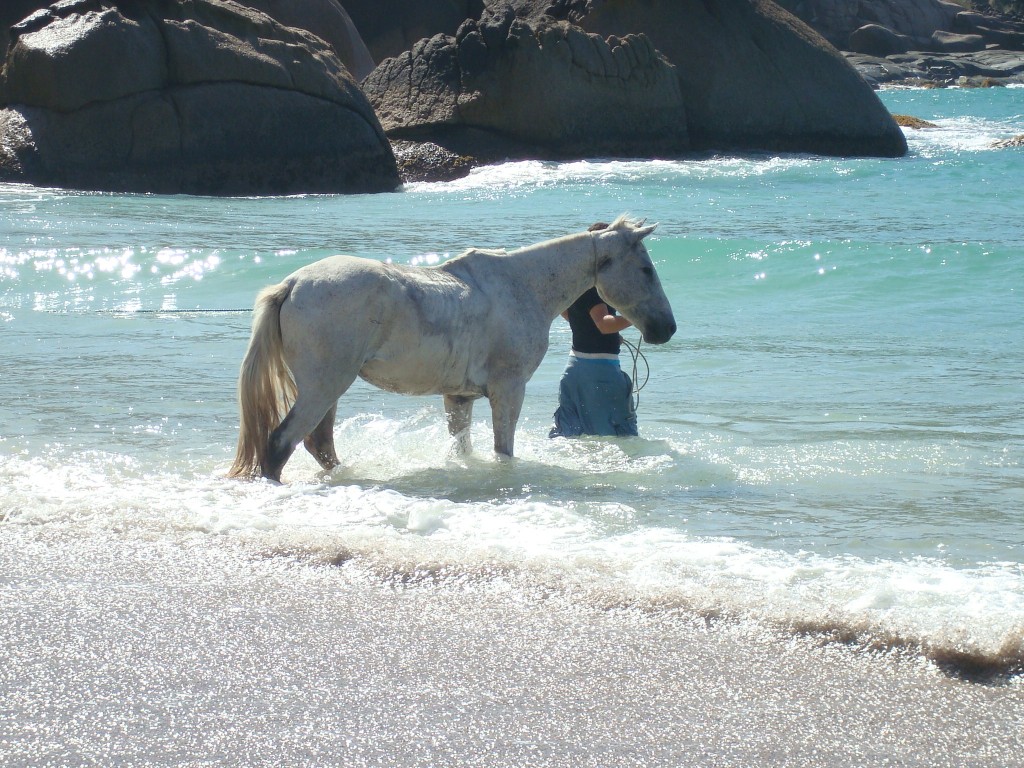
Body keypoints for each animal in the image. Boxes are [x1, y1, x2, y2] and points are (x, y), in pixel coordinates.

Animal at [228, 215, 676, 481]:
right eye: (646, 269)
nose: (666, 329)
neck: (521, 286)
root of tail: (293, 284)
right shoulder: (508, 392)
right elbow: (502, 452)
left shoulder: (459, 397)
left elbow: (463, 449)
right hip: (323, 388)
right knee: (280, 444)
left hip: (329, 390)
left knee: (318, 445)